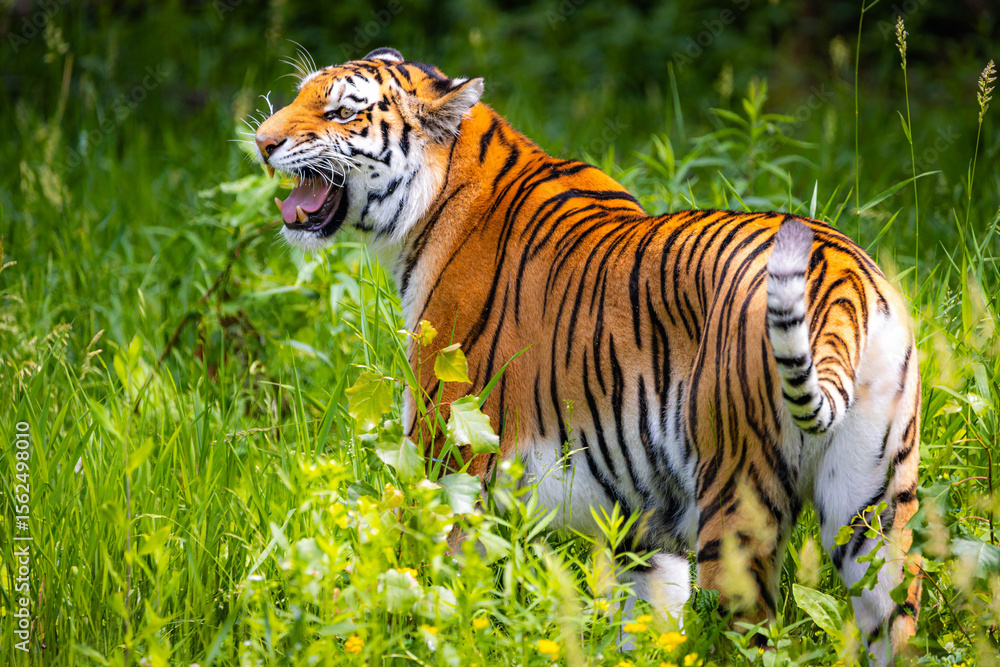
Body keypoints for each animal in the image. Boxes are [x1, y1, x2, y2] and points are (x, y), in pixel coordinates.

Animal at [253, 47, 922, 664]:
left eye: (342, 112)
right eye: (300, 95)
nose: (261, 142)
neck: (434, 203)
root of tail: (839, 270)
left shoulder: (447, 454)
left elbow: (425, 582)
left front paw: (408, 636)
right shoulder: (643, 518)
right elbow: (648, 618)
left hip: (738, 506)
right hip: (875, 511)